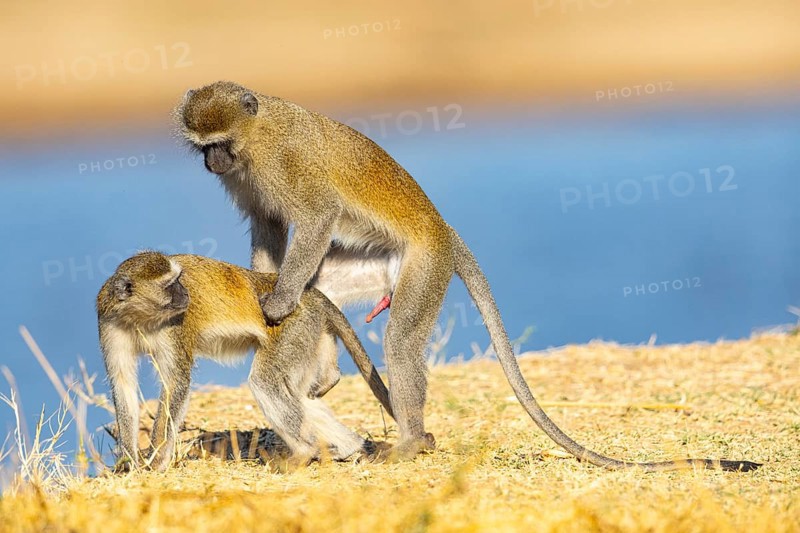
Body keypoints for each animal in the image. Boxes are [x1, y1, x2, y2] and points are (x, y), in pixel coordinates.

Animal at [96, 251, 394, 472]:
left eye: (179, 280)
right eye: (171, 286)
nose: (186, 295)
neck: (141, 318)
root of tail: (307, 293)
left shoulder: (174, 327)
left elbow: (176, 383)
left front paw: (156, 460)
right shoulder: (109, 322)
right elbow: (123, 385)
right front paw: (127, 461)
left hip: (293, 326)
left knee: (266, 383)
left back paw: (304, 452)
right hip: (309, 332)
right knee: (301, 396)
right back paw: (348, 447)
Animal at [175, 80, 760, 472]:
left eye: (220, 143)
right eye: (204, 147)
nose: (211, 164)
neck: (255, 135)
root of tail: (443, 228)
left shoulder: (284, 164)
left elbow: (316, 217)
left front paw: (276, 305)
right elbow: (269, 226)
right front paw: (263, 293)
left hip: (424, 263)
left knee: (401, 338)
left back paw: (409, 441)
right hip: (373, 263)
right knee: (322, 295)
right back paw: (327, 372)